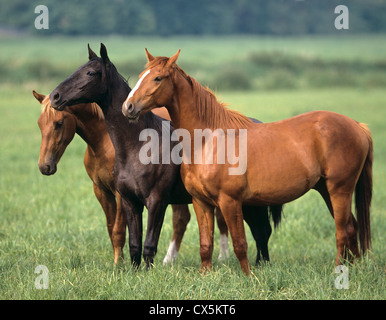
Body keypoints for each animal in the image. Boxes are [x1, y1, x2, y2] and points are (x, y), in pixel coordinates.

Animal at [122, 50, 372, 276]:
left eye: (158, 78)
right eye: (142, 75)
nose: (128, 107)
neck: (207, 141)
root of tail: (357, 126)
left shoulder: (230, 202)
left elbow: (240, 243)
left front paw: (248, 277)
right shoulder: (202, 203)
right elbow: (206, 245)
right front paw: (205, 277)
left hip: (339, 189)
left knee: (342, 230)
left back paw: (339, 271)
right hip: (327, 189)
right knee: (352, 227)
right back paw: (354, 269)